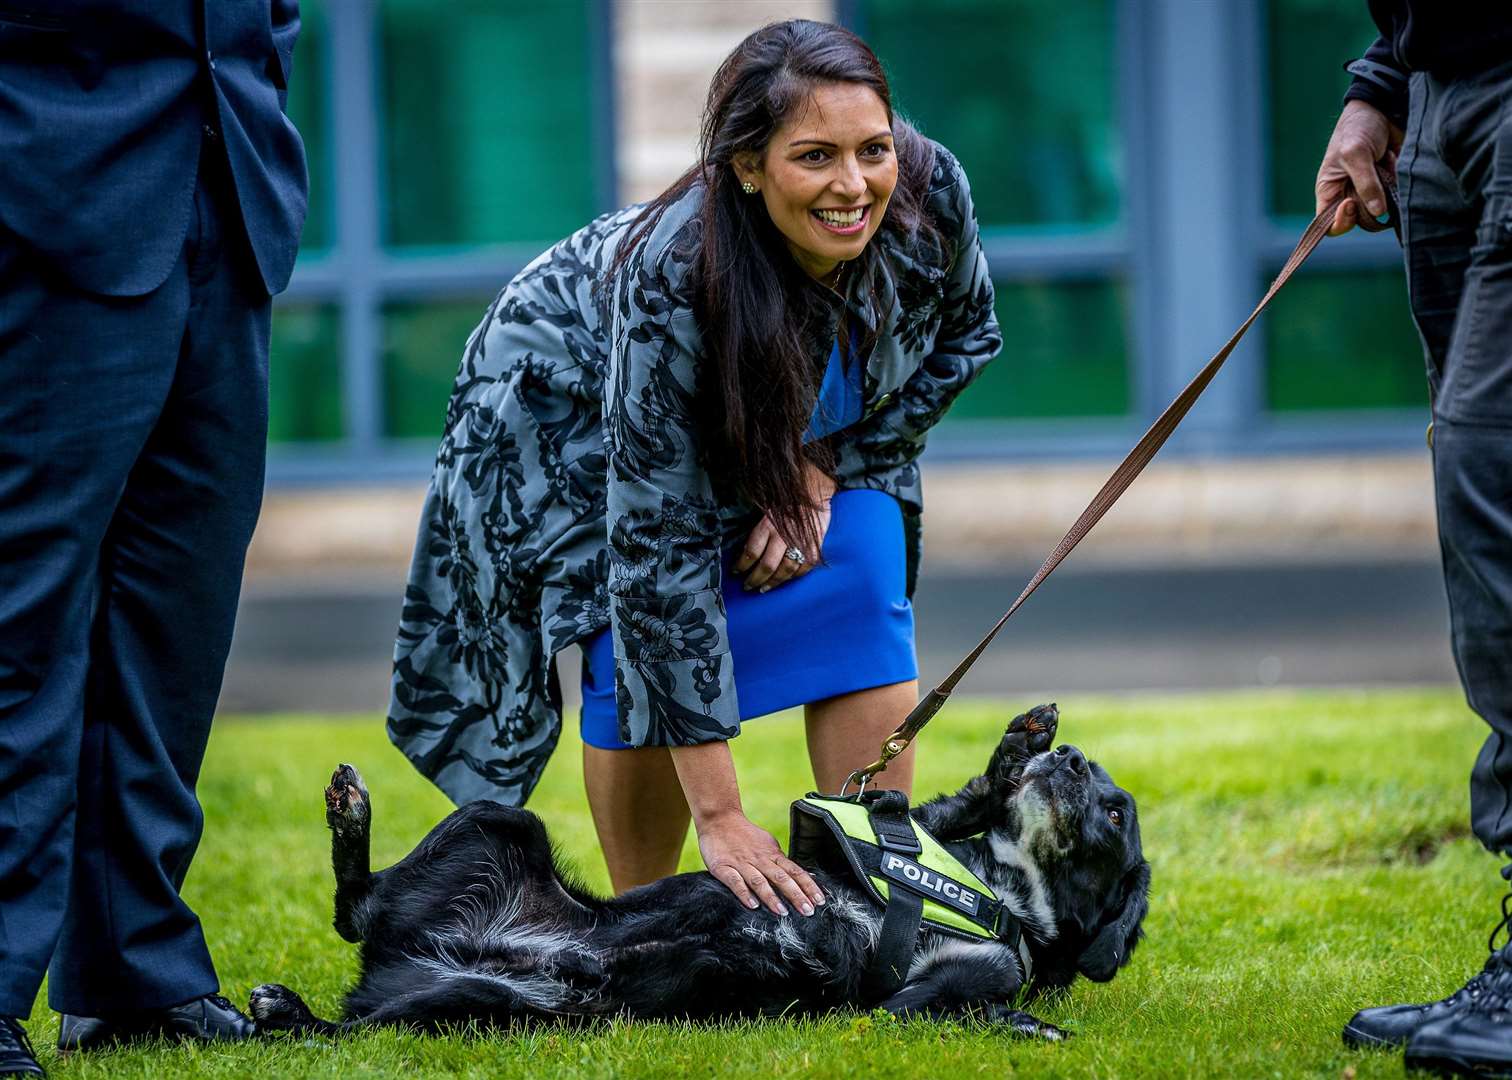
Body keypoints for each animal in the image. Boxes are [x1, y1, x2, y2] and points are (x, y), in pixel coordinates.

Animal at [250, 701, 1143, 1040]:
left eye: (1117, 812)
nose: (1072, 758)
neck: (1005, 895)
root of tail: (397, 958)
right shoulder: (868, 832)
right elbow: (949, 804)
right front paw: (1017, 747)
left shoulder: (909, 1004)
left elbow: (951, 1005)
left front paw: (1027, 1024)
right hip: (500, 823)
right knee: (356, 906)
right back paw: (349, 814)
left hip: (477, 1008)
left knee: (345, 1019)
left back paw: (287, 1010)